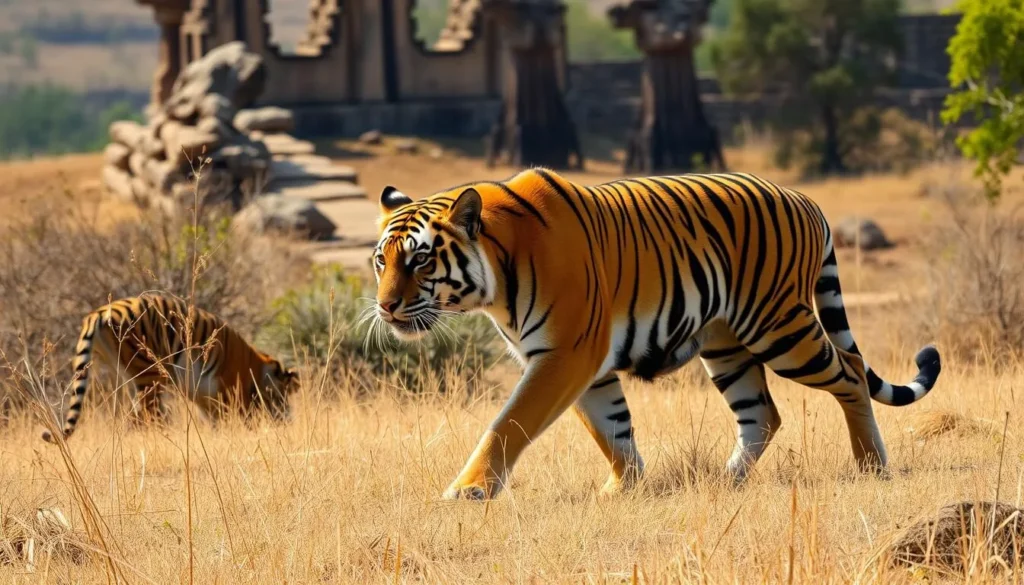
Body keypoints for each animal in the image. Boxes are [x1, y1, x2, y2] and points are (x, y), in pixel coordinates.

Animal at [42, 294, 298, 443]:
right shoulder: (231, 392)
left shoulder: (208, 400)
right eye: (283, 395)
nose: (289, 420)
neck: (256, 366)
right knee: (149, 416)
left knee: (134, 416)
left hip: (129, 373)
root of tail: (99, 313)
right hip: (150, 373)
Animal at [371, 168, 941, 500]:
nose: (385, 306)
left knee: (851, 374)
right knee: (763, 412)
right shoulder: (586, 363)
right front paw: (623, 488)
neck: (496, 274)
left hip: (780, 327)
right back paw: (726, 481)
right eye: (381, 260)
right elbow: (612, 429)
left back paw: (870, 466)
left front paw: (467, 491)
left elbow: (509, 422)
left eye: (420, 260)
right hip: (725, 343)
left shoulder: (564, 355)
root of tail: (806, 199)